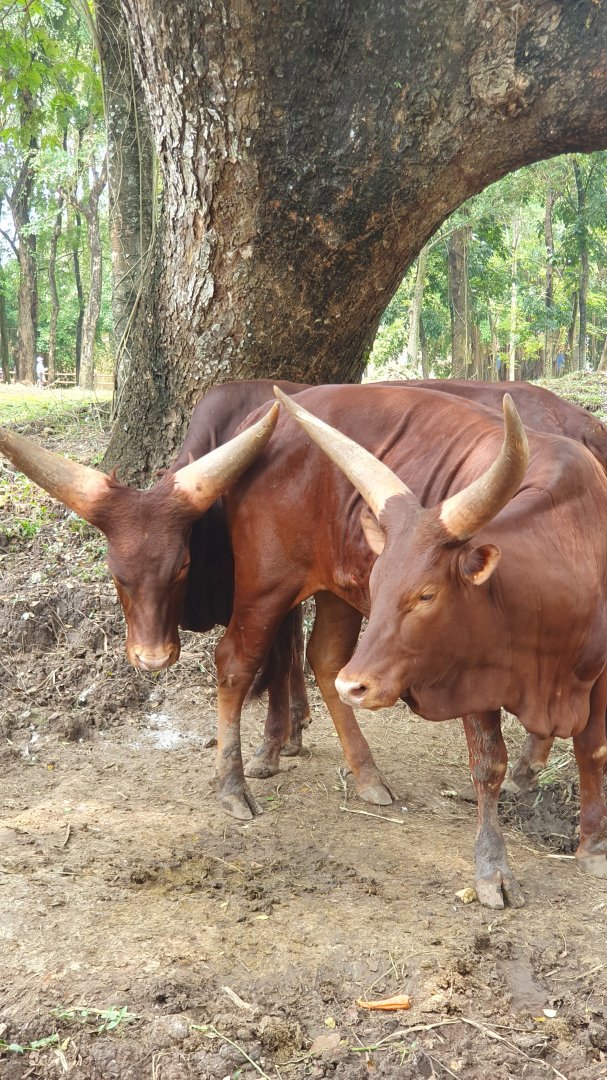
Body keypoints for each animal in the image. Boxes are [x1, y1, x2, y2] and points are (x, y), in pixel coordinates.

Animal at [212, 384, 607, 907]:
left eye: (426, 595)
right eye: (378, 584)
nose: (358, 685)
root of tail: (260, 416)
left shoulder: (599, 671)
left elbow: (593, 749)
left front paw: (594, 846)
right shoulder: (471, 677)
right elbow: (489, 764)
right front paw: (493, 870)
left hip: (334, 594)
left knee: (325, 659)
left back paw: (367, 775)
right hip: (265, 584)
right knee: (236, 663)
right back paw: (232, 787)